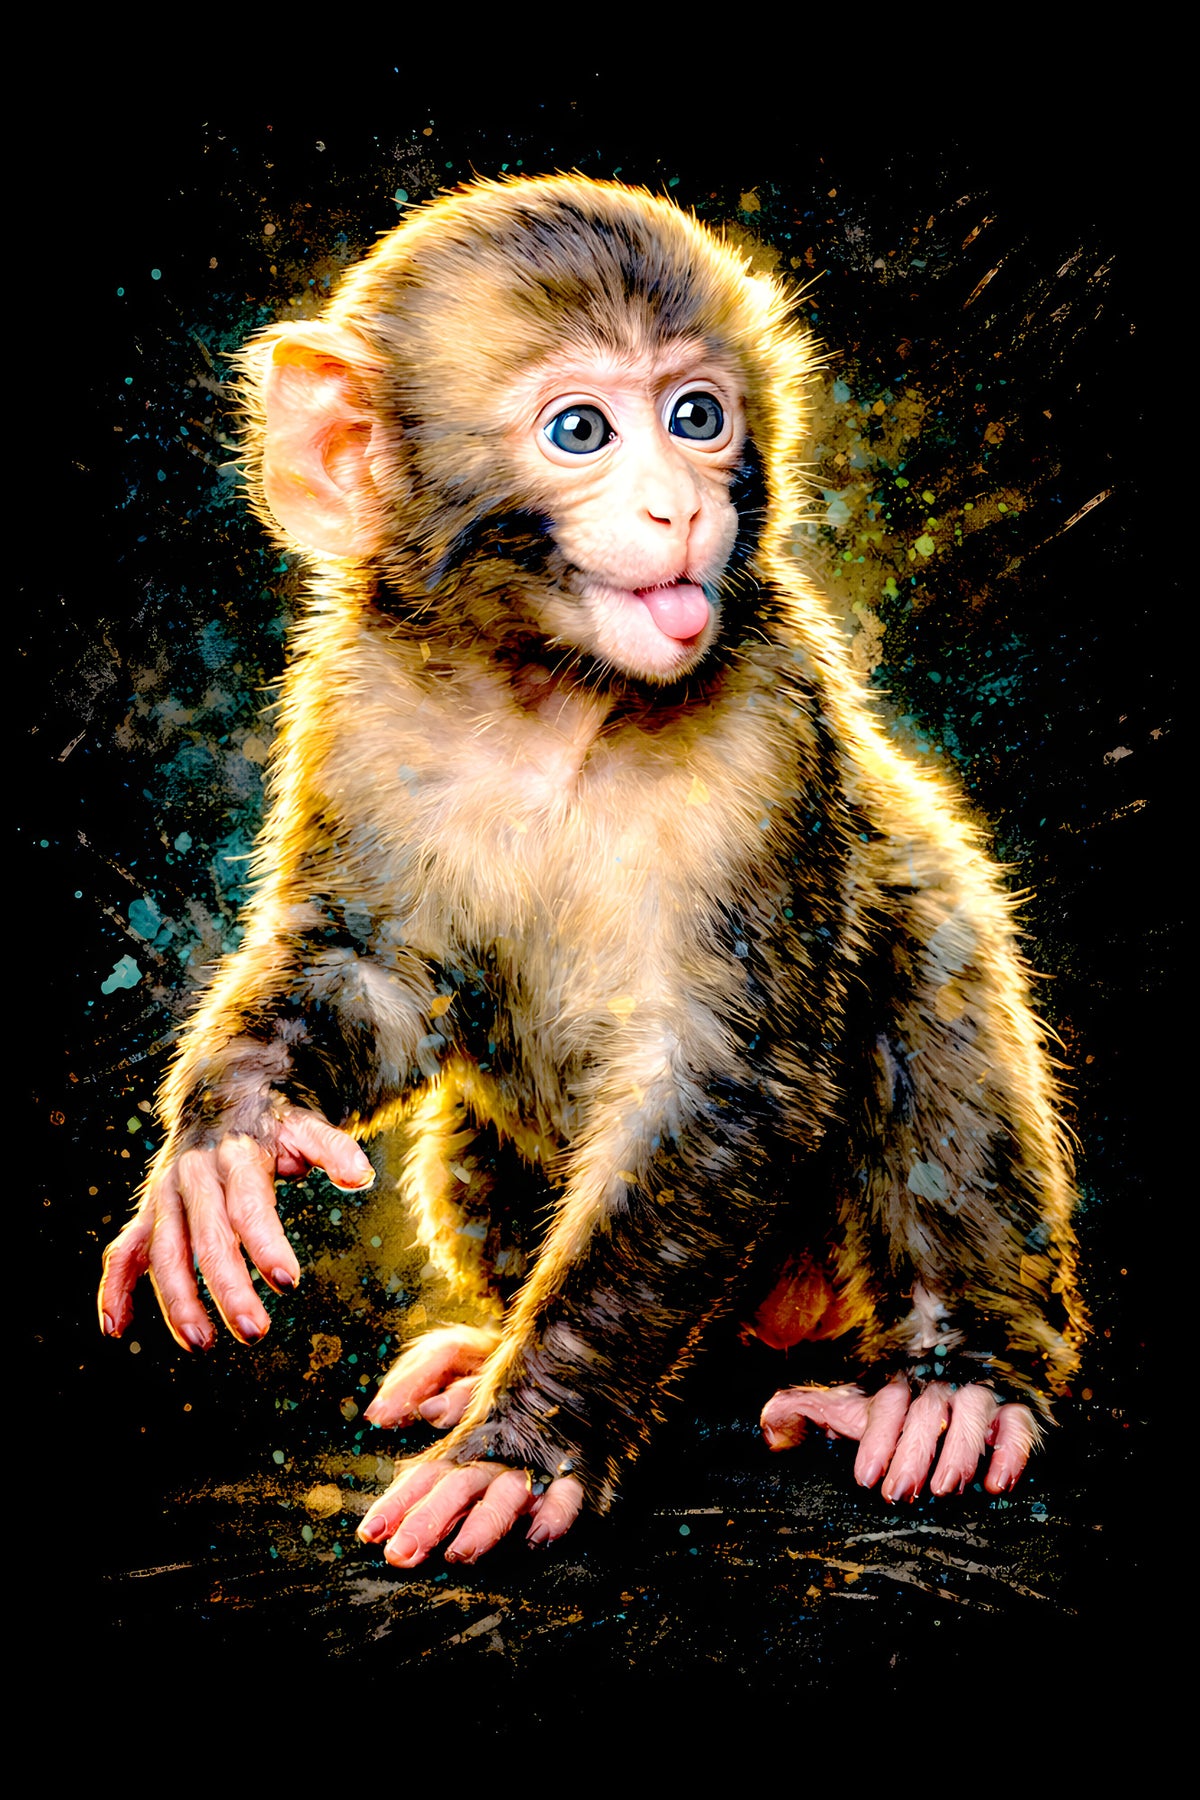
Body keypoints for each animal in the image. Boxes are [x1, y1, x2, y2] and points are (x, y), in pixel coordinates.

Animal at [99, 175, 1085, 1569]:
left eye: (696, 415)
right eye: (580, 430)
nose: (682, 504)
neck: (552, 704)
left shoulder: (767, 732)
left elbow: (719, 1078)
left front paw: (525, 1447)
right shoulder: (358, 710)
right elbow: (369, 974)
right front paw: (229, 1133)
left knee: (926, 980)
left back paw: (954, 1386)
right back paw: (476, 1346)